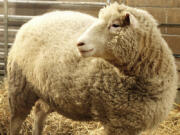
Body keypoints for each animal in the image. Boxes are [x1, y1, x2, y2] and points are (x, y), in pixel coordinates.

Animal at [7, 2, 177, 135]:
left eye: (115, 25)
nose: (79, 43)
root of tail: (32, 21)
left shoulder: (132, 123)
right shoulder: (117, 123)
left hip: (49, 91)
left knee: (39, 111)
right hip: (20, 87)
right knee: (16, 121)